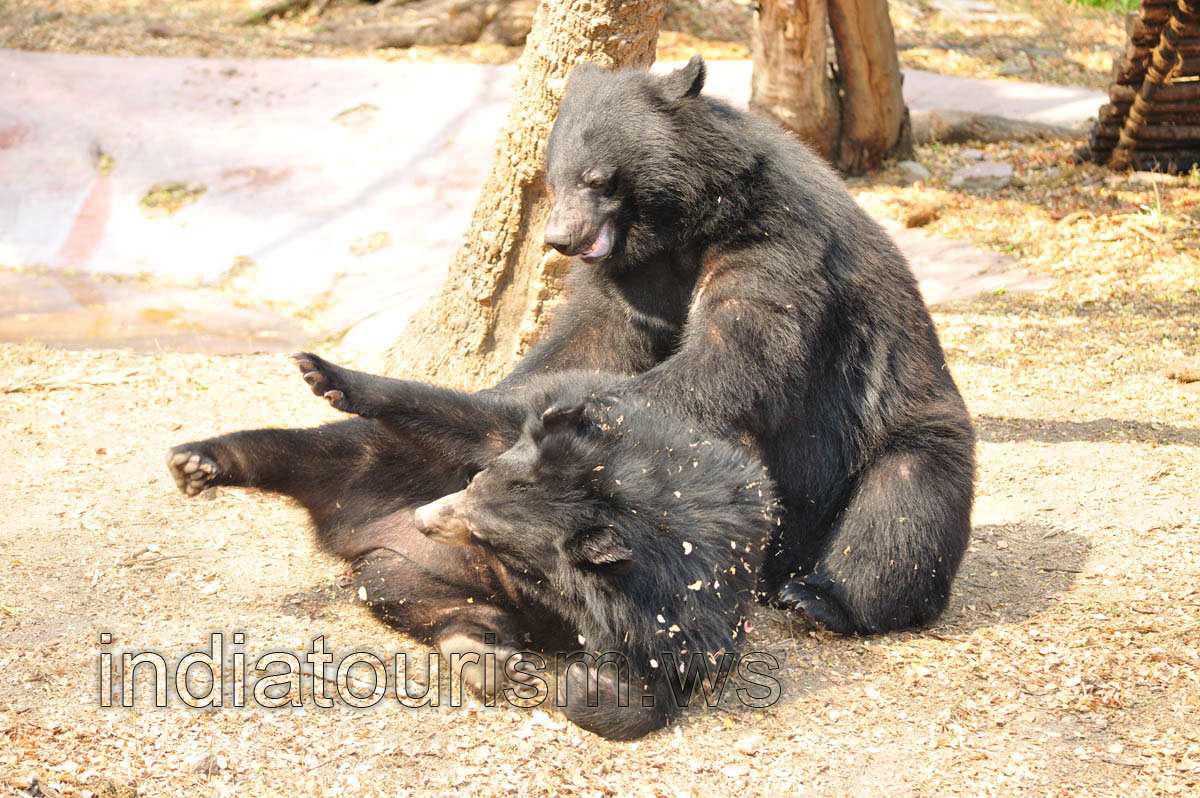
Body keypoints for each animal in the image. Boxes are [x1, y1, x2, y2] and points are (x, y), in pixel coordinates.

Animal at [168, 354, 774, 739]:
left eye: (491, 541)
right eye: (474, 480)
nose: (420, 521)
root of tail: (358, 533)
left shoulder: (691, 604)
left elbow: (670, 676)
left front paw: (588, 687)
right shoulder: (524, 426)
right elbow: (459, 416)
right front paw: (328, 374)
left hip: (399, 575)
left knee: (454, 613)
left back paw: (482, 659)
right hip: (375, 469)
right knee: (303, 453)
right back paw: (201, 461)